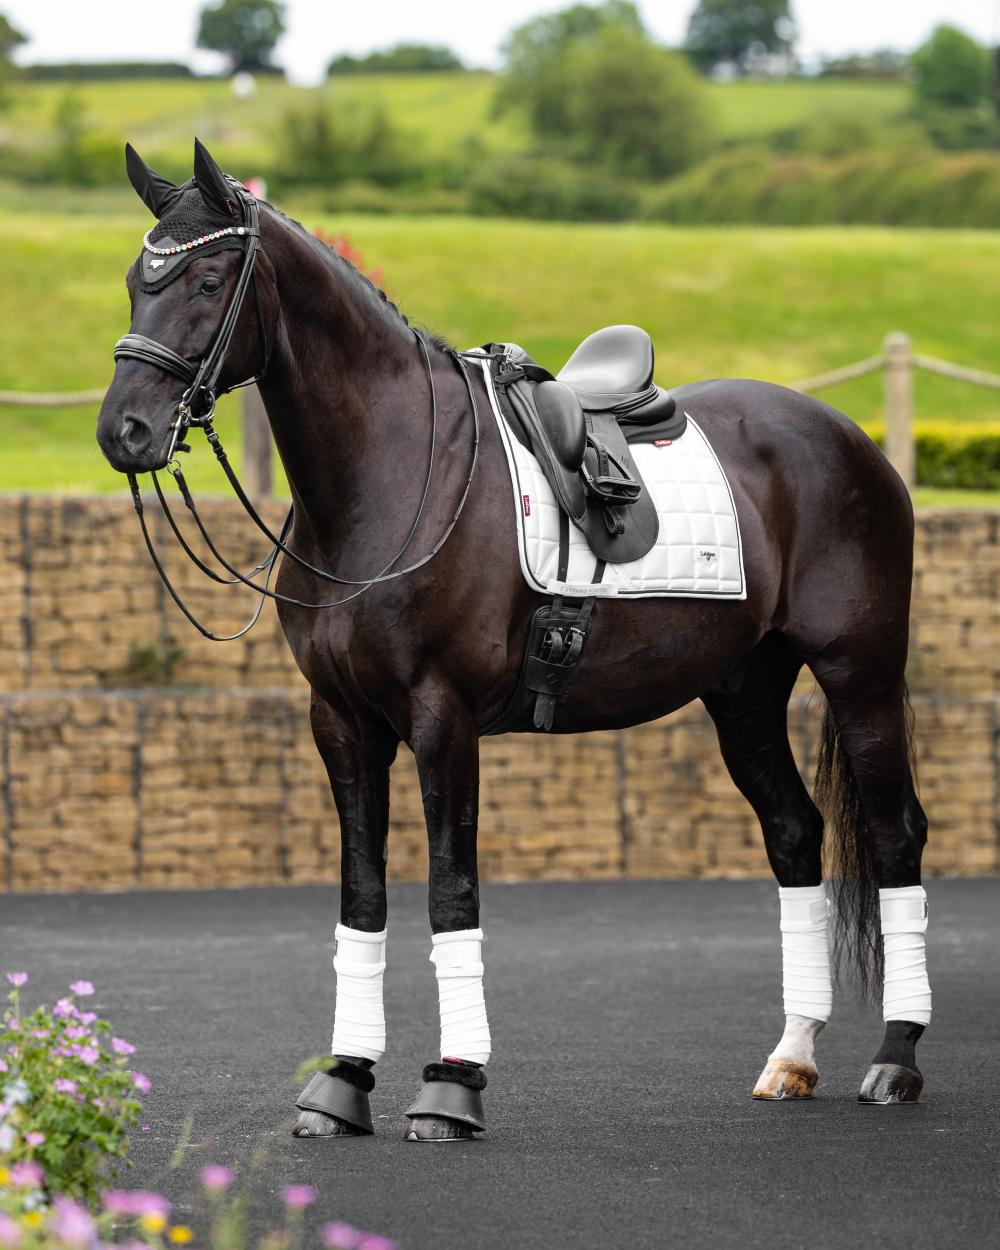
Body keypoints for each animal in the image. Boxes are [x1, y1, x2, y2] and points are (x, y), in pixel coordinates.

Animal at [95, 141, 930, 1140]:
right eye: (135, 282)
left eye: (209, 279)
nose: (124, 431)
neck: (390, 477)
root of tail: (845, 437)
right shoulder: (341, 722)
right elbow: (362, 895)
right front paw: (343, 1082)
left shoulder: (443, 719)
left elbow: (451, 891)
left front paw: (452, 1086)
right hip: (744, 689)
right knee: (796, 835)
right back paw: (792, 1056)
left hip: (860, 673)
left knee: (894, 835)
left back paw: (896, 1059)